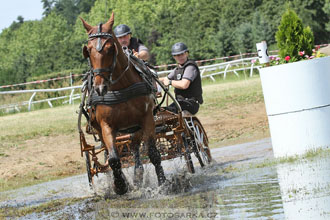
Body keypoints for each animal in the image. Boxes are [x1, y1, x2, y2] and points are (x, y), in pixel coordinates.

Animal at [80, 12, 165, 194]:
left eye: (110, 48)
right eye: (88, 50)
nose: (100, 88)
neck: (120, 87)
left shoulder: (147, 118)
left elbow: (153, 153)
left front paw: (163, 182)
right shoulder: (106, 125)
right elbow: (113, 159)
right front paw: (120, 185)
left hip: (135, 128)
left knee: (135, 148)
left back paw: (138, 175)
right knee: (110, 154)